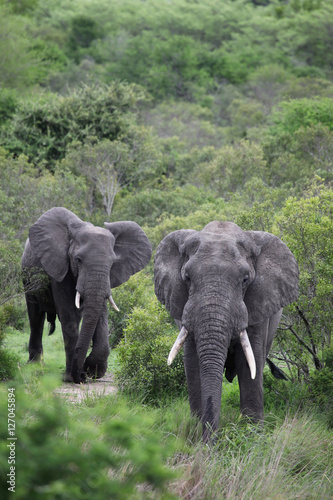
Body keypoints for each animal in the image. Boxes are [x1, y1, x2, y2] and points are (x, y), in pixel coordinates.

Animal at [20, 207, 150, 382]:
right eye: (78, 260)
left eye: (112, 263)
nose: (81, 376)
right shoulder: (60, 267)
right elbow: (68, 314)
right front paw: (71, 377)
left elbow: (100, 313)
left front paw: (92, 371)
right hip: (27, 278)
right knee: (35, 318)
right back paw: (35, 367)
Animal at [154, 222, 298, 442]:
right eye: (187, 278)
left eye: (245, 279)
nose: (210, 443)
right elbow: (193, 363)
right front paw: (197, 432)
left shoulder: (259, 304)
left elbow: (250, 364)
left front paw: (252, 436)